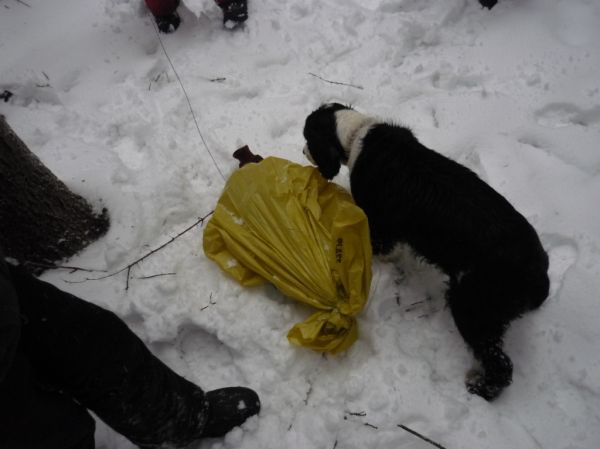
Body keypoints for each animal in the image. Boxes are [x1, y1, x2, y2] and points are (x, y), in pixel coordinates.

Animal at [302, 104, 552, 400]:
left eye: (308, 138)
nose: (303, 152)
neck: (356, 132)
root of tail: (538, 271)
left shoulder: (382, 224)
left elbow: (381, 248)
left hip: (472, 305)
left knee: (500, 363)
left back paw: (480, 389)